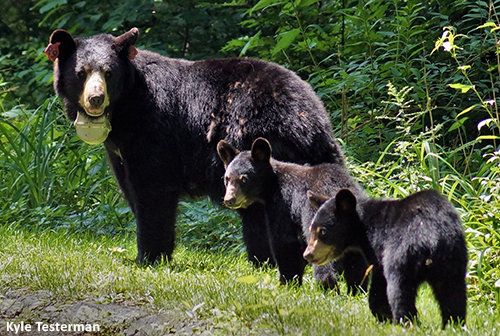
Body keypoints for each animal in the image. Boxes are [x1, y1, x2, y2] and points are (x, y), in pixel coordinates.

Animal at [46, 28, 344, 266]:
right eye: (81, 73)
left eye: (108, 73)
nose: (95, 98)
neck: (125, 110)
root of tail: (314, 117)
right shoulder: (118, 150)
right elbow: (130, 189)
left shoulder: (153, 130)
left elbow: (152, 190)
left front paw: (149, 257)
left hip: (261, 144)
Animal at [216, 138, 368, 290]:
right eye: (227, 178)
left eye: (243, 179)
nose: (229, 199)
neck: (272, 186)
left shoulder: (282, 205)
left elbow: (284, 241)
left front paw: (287, 283)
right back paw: (358, 289)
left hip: (317, 218)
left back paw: (327, 285)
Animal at [304, 189, 468, 328]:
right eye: (312, 229)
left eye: (323, 231)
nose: (308, 254)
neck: (363, 227)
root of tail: (430, 232)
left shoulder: (379, 249)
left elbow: (379, 282)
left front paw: (383, 315)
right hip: (452, 257)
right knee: (453, 294)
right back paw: (453, 324)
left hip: (403, 255)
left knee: (399, 290)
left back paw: (407, 323)